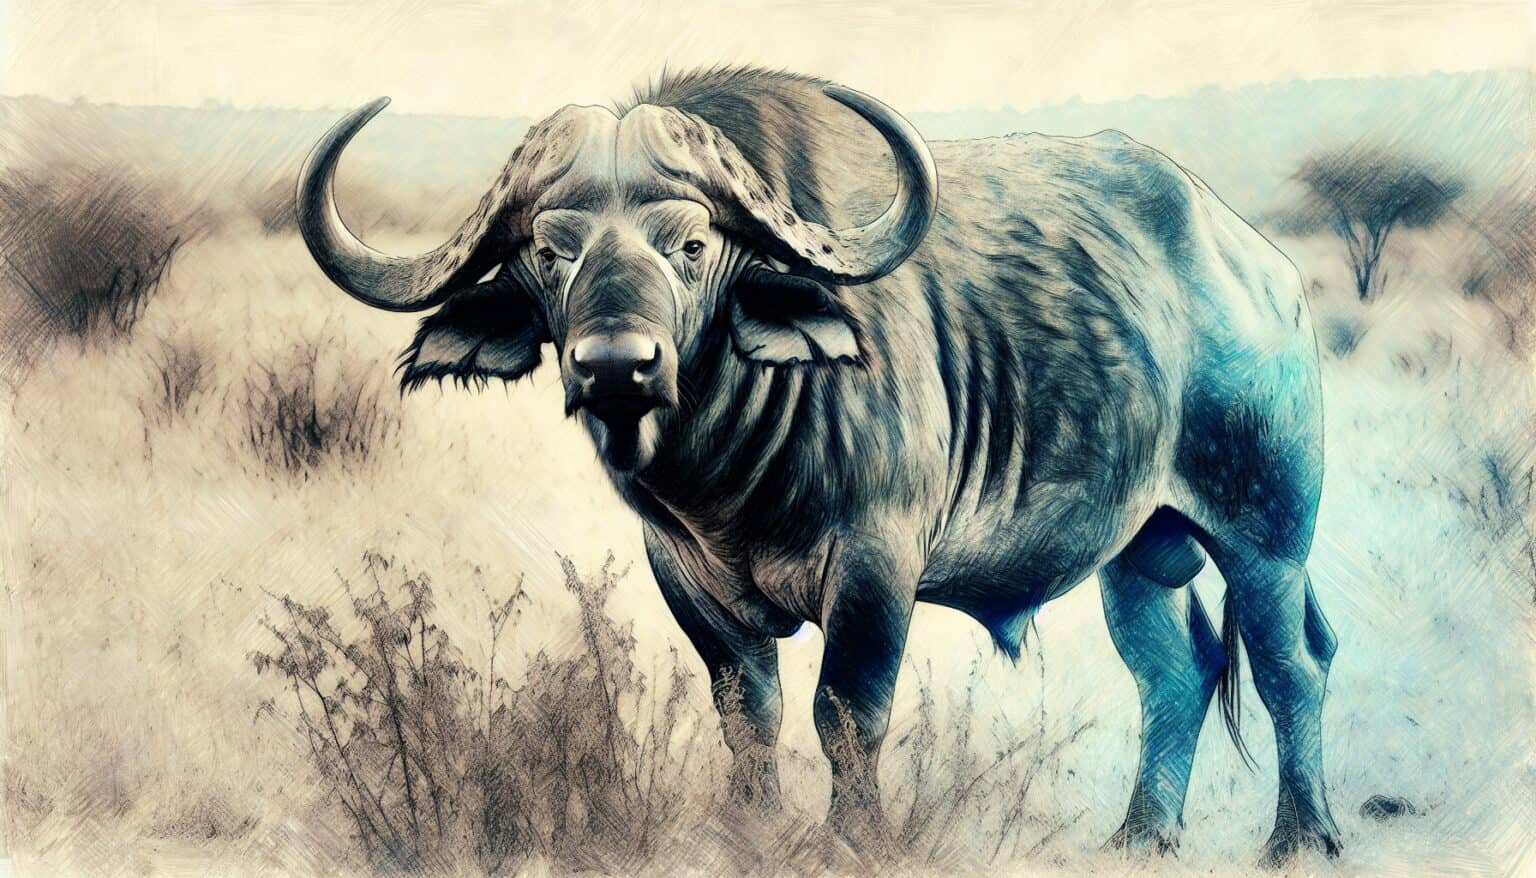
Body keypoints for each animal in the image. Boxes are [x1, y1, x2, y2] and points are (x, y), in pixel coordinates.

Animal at [297, 68, 1341, 864]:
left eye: (692, 243)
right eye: (552, 252)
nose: (614, 367)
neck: (730, 468)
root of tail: (1261, 266)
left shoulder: (877, 562)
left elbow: (846, 710)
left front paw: (856, 839)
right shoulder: (684, 575)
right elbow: (748, 715)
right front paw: (749, 830)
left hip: (1265, 536)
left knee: (1291, 665)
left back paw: (1302, 838)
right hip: (1137, 550)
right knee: (1176, 670)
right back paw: (1141, 836)